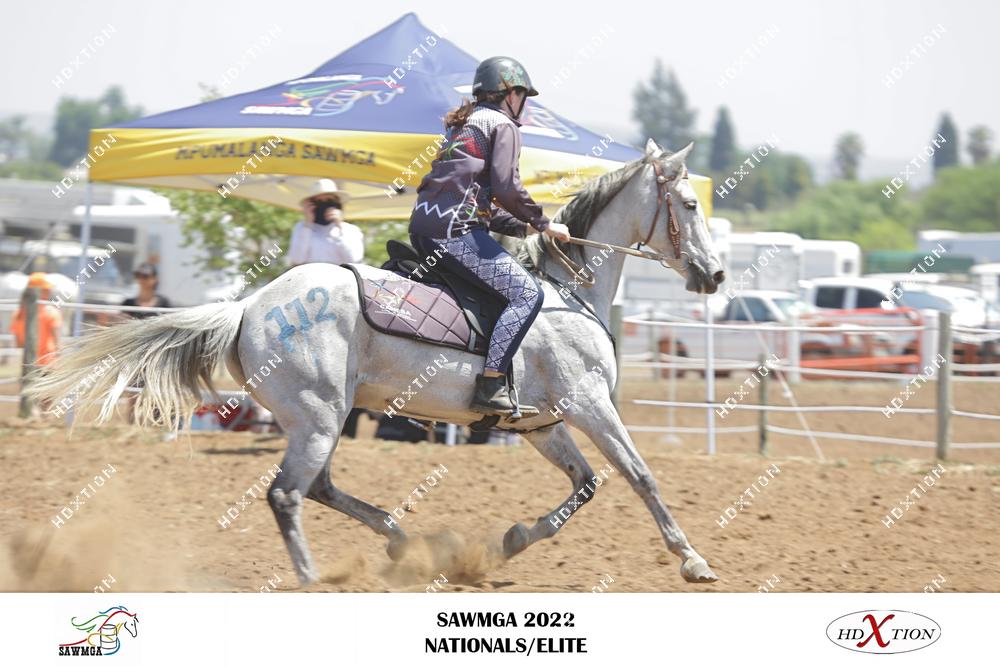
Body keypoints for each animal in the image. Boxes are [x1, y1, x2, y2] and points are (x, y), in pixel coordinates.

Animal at [27, 138, 726, 587]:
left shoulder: (542, 424)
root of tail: (250, 307)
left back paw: (397, 538)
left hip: (326, 416)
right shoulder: (589, 404)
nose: (715, 275)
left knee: (320, 488)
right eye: (691, 205)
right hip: (317, 416)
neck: (565, 292)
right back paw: (315, 578)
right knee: (288, 494)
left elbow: (586, 485)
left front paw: (513, 541)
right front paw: (691, 559)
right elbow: (640, 477)